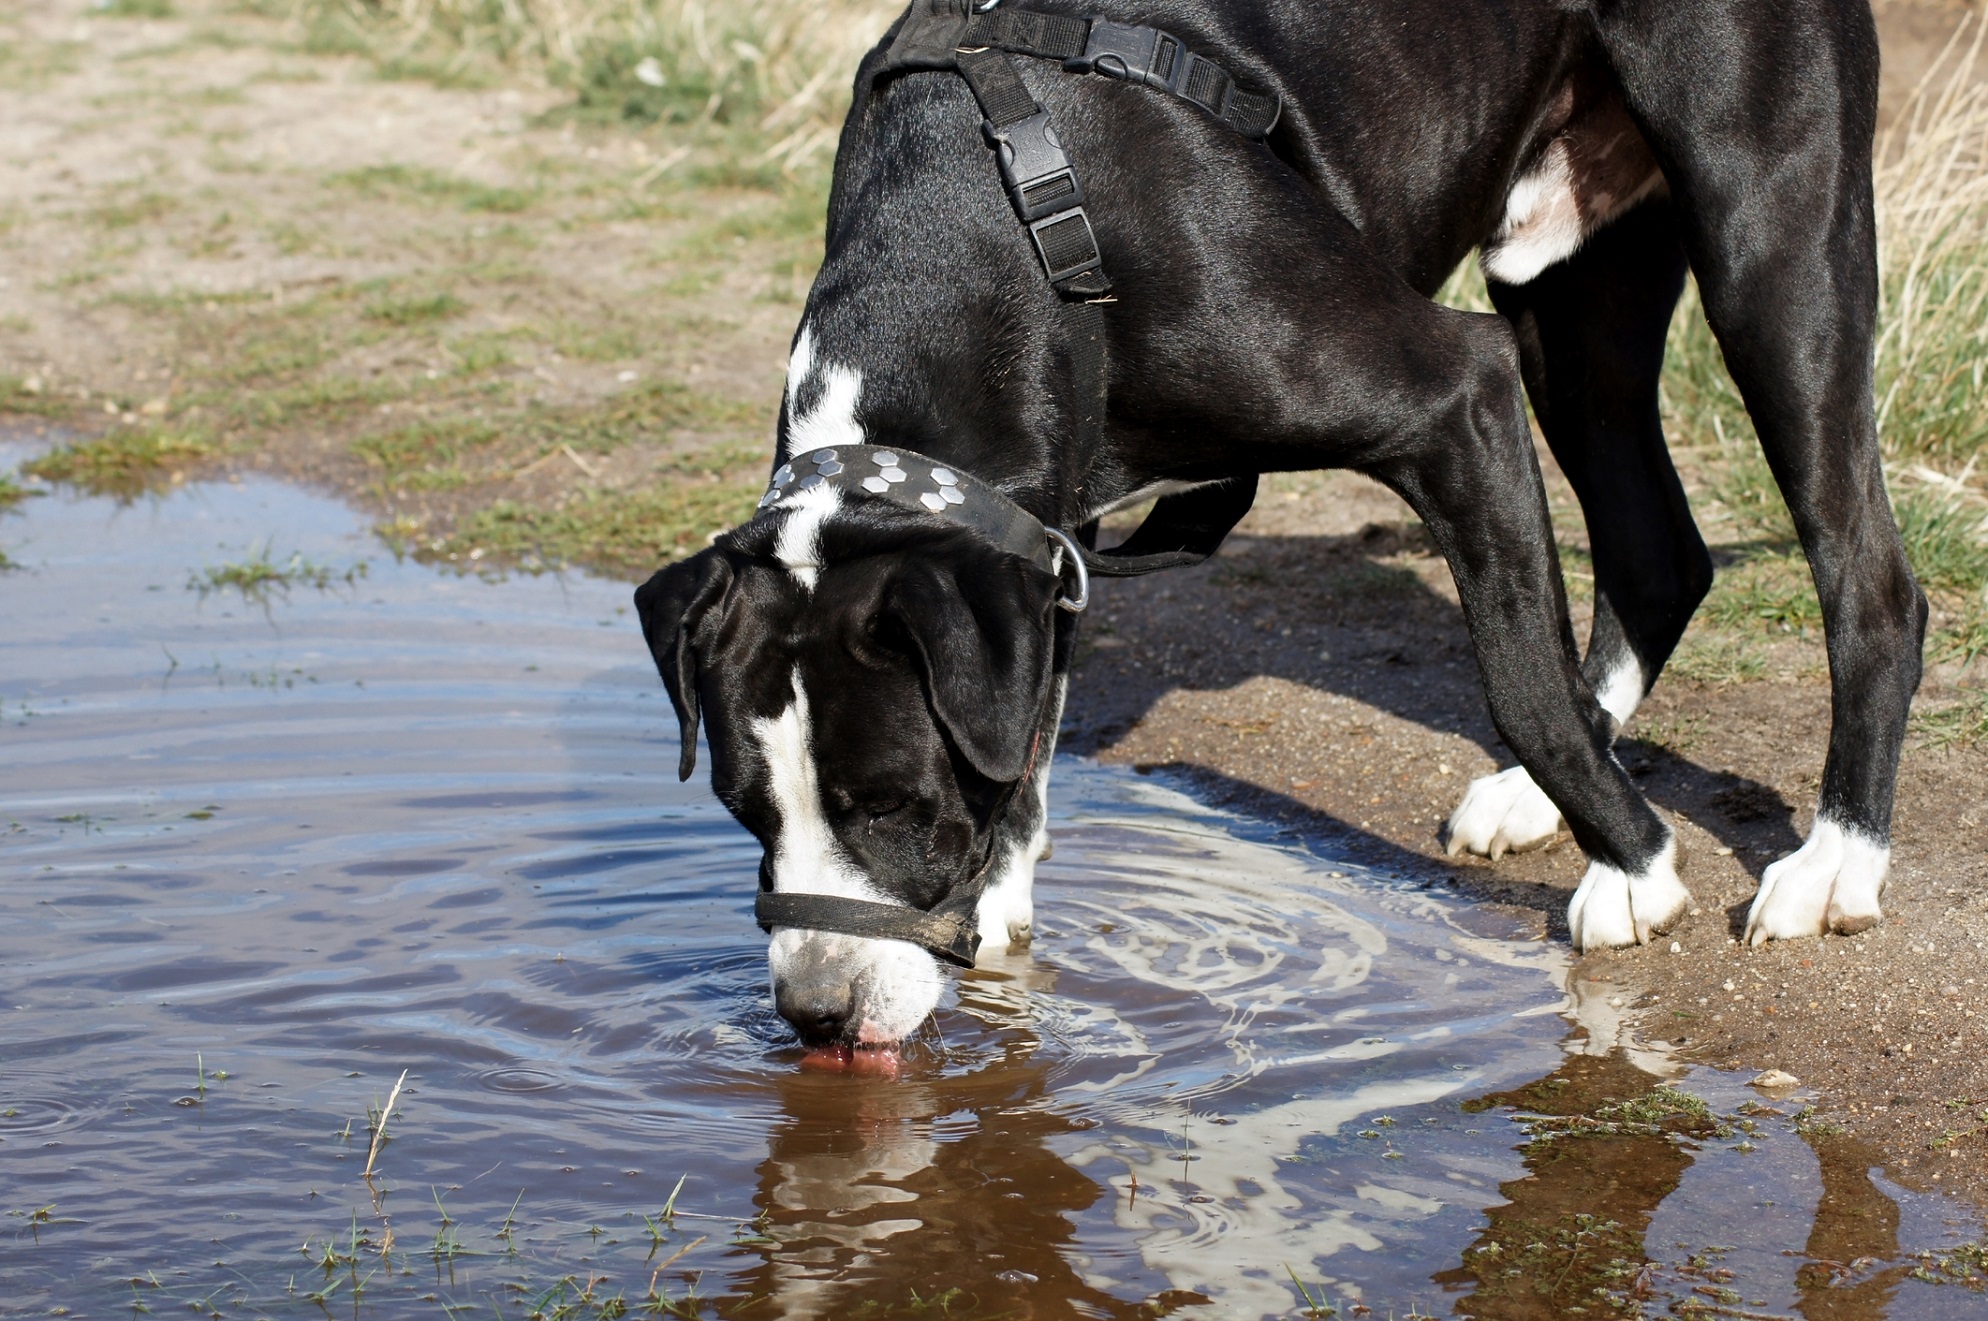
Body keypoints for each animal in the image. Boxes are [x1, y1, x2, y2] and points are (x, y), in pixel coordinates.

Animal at [636, 0, 1924, 1050]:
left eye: (891, 805)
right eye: (746, 812)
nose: (813, 1012)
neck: (988, 236)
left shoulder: (1452, 397)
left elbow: (1515, 677)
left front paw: (1643, 869)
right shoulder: (1040, 539)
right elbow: (1022, 741)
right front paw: (996, 916)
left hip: (1766, 235)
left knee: (1865, 577)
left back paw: (1832, 857)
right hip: (1571, 298)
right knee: (1657, 553)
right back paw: (1533, 795)